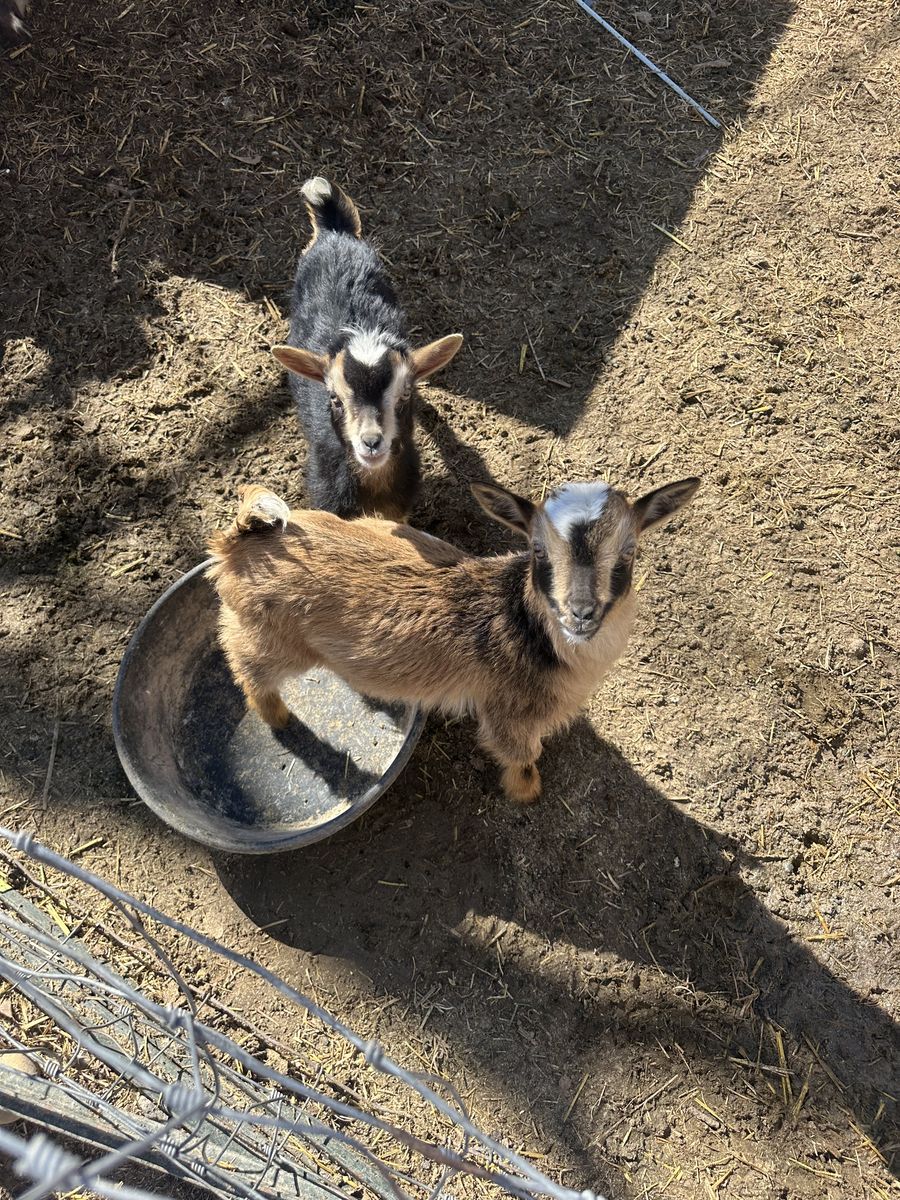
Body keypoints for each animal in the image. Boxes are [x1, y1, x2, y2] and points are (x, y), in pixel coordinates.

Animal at [207, 474, 699, 804]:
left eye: (629, 551)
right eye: (538, 549)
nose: (580, 612)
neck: (525, 626)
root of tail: (241, 540)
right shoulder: (507, 713)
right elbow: (521, 752)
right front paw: (526, 791)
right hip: (271, 638)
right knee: (242, 661)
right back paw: (275, 716)